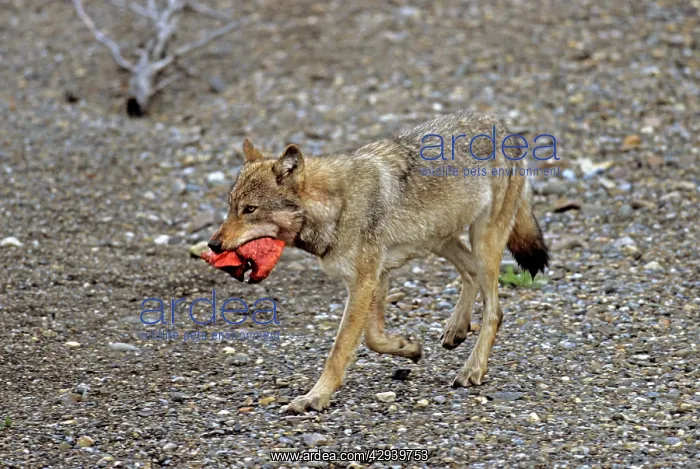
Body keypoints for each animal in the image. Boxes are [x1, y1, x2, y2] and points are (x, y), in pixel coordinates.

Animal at [208, 111, 549, 413]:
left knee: (495, 310)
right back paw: (456, 329)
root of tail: (502, 127)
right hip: (441, 241)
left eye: (250, 209)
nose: (213, 244)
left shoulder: (365, 281)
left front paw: (315, 397)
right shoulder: (376, 276)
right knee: (470, 274)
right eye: (231, 207)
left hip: (483, 241)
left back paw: (473, 369)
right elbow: (372, 338)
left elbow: (339, 350)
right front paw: (407, 347)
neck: (337, 206)